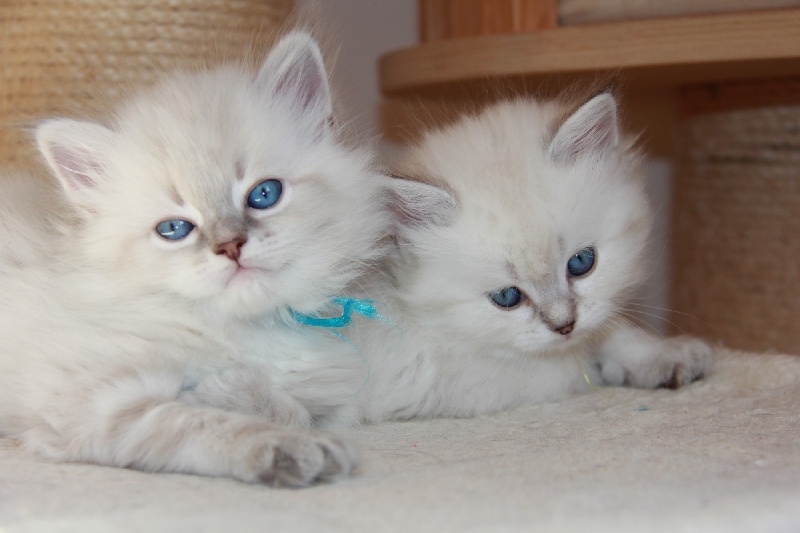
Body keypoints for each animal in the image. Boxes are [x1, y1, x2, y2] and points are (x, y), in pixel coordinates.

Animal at [0, 31, 390, 484]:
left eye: (264, 194)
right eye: (174, 229)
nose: (231, 247)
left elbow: (303, 408)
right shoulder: (94, 403)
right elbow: (210, 422)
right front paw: (291, 444)